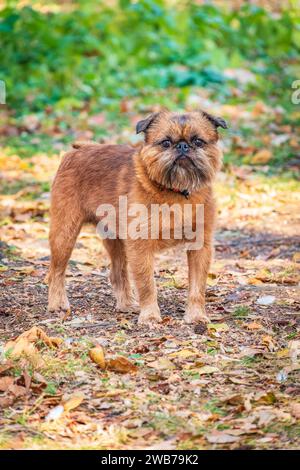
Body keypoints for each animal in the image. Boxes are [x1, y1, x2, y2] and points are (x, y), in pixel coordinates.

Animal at [48, 109, 226, 326]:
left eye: (198, 141)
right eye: (166, 142)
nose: (183, 146)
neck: (176, 191)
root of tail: (80, 149)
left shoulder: (200, 246)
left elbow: (197, 286)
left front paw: (196, 315)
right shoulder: (140, 246)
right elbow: (147, 284)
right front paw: (150, 315)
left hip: (116, 240)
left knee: (117, 273)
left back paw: (126, 304)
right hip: (65, 233)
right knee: (55, 271)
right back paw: (57, 303)